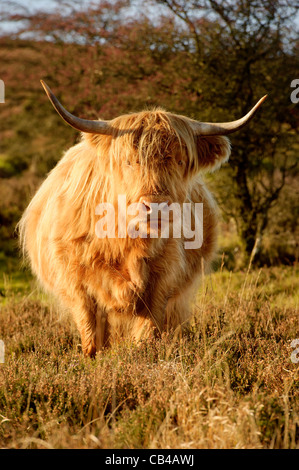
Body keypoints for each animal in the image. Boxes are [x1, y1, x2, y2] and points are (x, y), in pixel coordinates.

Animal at [18, 81, 268, 354]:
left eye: (180, 161)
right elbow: (91, 326)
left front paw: (143, 351)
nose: (156, 207)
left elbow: (149, 326)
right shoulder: (75, 276)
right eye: (129, 161)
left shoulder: (164, 276)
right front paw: (94, 354)